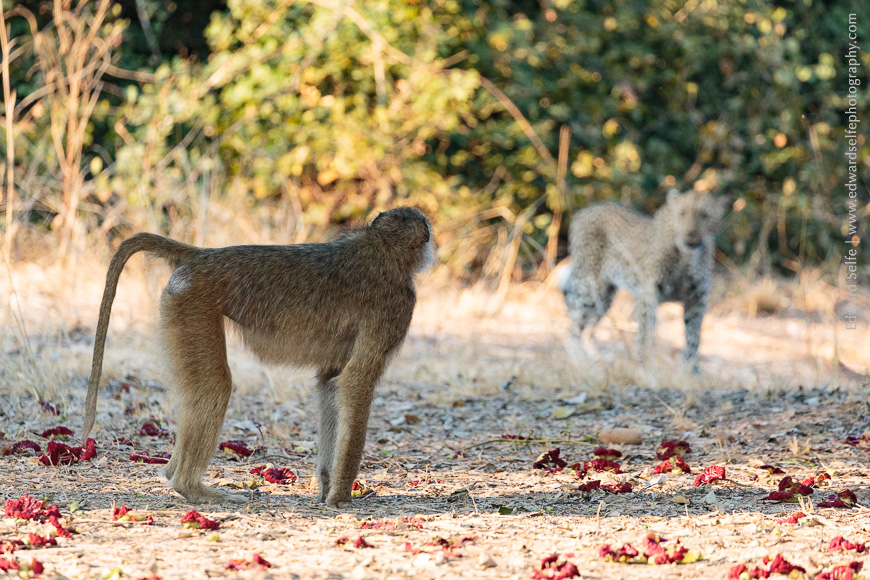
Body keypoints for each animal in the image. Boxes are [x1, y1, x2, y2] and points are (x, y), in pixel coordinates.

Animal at [560, 189, 727, 371]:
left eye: (704, 215)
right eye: (682, 213)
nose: (691, 234)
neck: (688, 257)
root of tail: (585, 210)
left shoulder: (696, 300)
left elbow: (693, 338)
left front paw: (692, 372)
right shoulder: (649, 294)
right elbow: (645, 335)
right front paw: (645, 368)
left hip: (604, 297)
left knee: (586, 328)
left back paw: (596, 360)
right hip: (590, 287)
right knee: (572, 329)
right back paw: (581, 363)